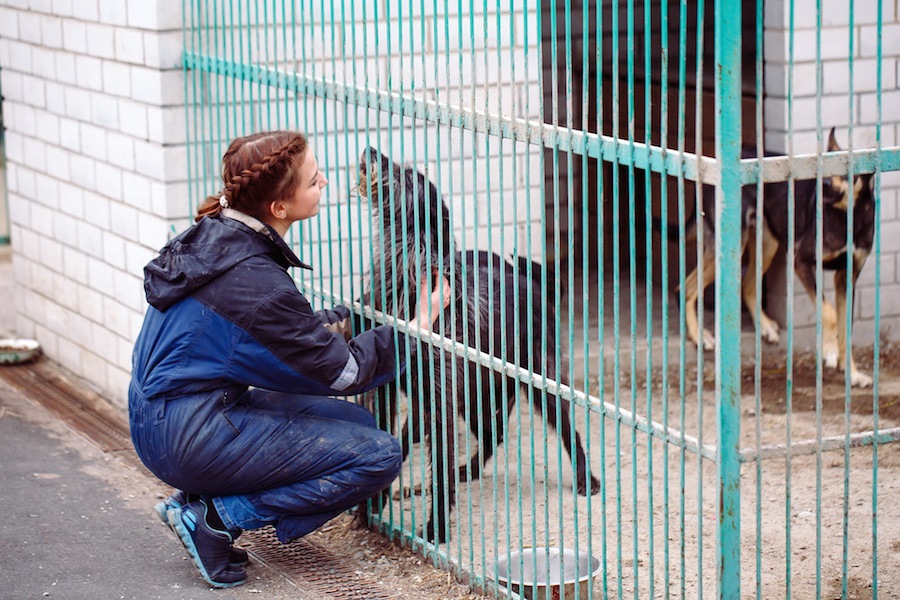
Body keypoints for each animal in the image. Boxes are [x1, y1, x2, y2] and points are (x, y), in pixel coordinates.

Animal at [356, 146, 600, 544]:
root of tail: (531, 282)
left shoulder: (438, 399)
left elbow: (439, 470)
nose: (370, 149)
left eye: (407, 175)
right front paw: (373, 505)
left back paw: (585, 479)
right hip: (474, 395)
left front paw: (436, 528)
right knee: (492, 434)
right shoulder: (389, 390)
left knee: (567, 431)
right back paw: (468, 468)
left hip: (540, 384)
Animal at [684, 129, 872, 386]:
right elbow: (829, 313)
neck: (848, 217)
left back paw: (764, 326)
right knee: (685, 288)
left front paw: (852, 373)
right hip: (730, 247)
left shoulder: (847, 277)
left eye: (846, 170)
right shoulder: (802, 262)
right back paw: (698, 335)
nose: (822, 184)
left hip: (767, 244)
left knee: (748, 286)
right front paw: (830, 350)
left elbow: (846, 328)